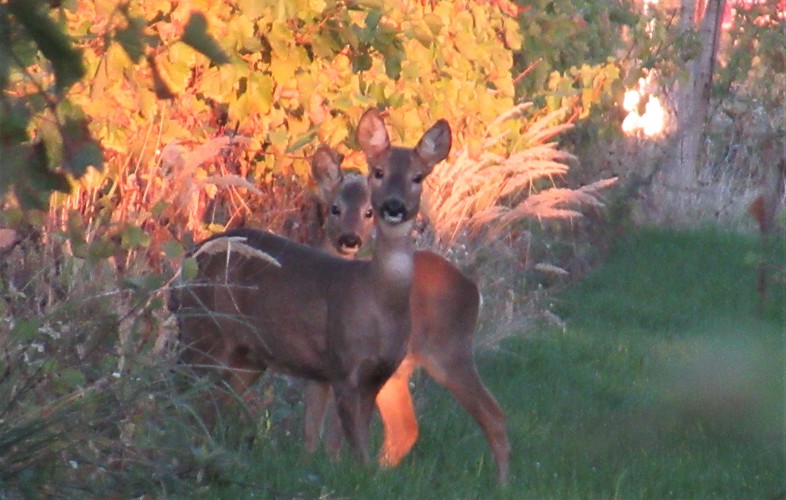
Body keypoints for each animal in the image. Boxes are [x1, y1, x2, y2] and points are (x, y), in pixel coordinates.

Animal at [174, 109, 450, 464]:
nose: (394, 206)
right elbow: (349, 443)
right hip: (202, 331)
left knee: (213, 400)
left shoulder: (371, 374)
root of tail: (188, 259)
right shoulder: (341, 365)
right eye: (379, 172)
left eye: (418, 177)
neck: (377, 299)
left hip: (247, 356)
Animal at [300, 146, 508, 482]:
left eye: (368, 213)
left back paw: (502, 484)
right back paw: (379, 472)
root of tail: (473, 289)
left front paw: (332, 465)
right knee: (405, 428)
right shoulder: (317, 363)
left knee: (494, 415)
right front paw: (309, 464)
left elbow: (334, 429)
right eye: (334, 208)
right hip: (398, 369)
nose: (350, 239)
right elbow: (311, 425)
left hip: (449, 351)